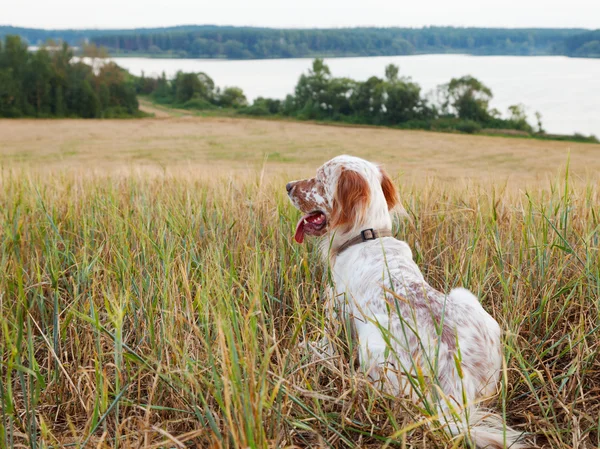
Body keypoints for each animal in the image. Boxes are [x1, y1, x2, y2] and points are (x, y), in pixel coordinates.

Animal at [286, 156, 524, 446]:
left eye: (319, 179)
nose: (288, 186)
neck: (367, 235)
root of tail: (456, 378)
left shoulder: (337, 310)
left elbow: (323, 343)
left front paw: (308, 350)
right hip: (464, 297)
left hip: (372, 344)